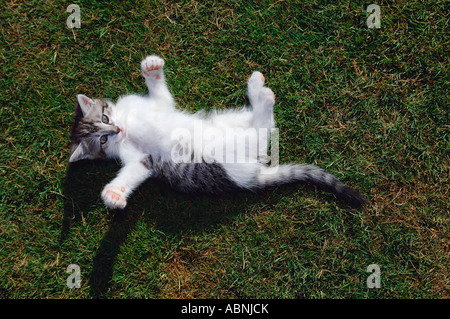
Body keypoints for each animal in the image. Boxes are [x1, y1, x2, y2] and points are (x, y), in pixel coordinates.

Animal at [69, 55, 366, 210]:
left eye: (106, 117)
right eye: (103, 139)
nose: (117, 128)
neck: (129, 122)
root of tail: (254, 174)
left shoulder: (160, 105)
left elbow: (161, 94)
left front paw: (151, 68)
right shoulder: (142, 159)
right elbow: (132, 173)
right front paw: (114, 193)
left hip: (228, 121)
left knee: (263, 123)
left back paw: (256, 88)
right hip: (231, 151)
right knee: (265, 128)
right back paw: (264, 96)